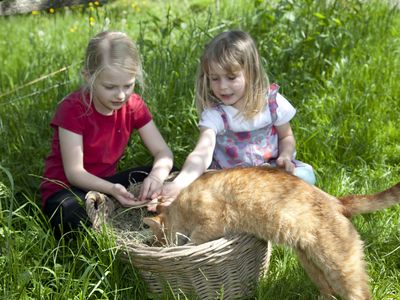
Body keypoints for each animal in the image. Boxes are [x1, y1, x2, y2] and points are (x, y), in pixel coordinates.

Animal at [144, 166, 400, 300]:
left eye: (159, 241)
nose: (160, 246)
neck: (182, 206)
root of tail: (338, 201)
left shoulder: (211, 221)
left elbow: (196, 239)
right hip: (311, 264)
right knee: (327, 293)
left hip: (338, 266)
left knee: (360, 293)